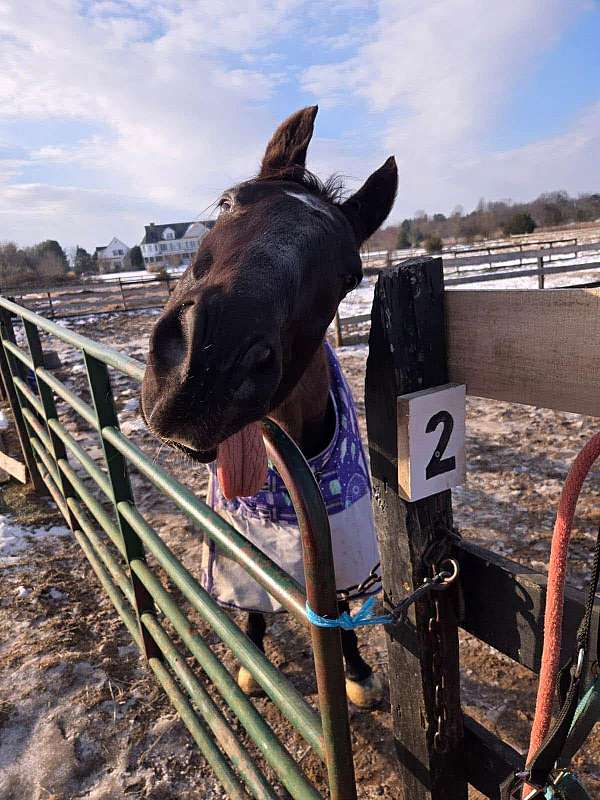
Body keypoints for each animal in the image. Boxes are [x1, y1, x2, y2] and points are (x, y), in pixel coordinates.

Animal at [141, 105, 397, 708]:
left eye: (350, 273)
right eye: (228, 201)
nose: (206, 367)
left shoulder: (340, 545)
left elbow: (339, 606)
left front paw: (356, 671)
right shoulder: (242, 542)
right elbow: (252, 596)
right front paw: (252, 660)